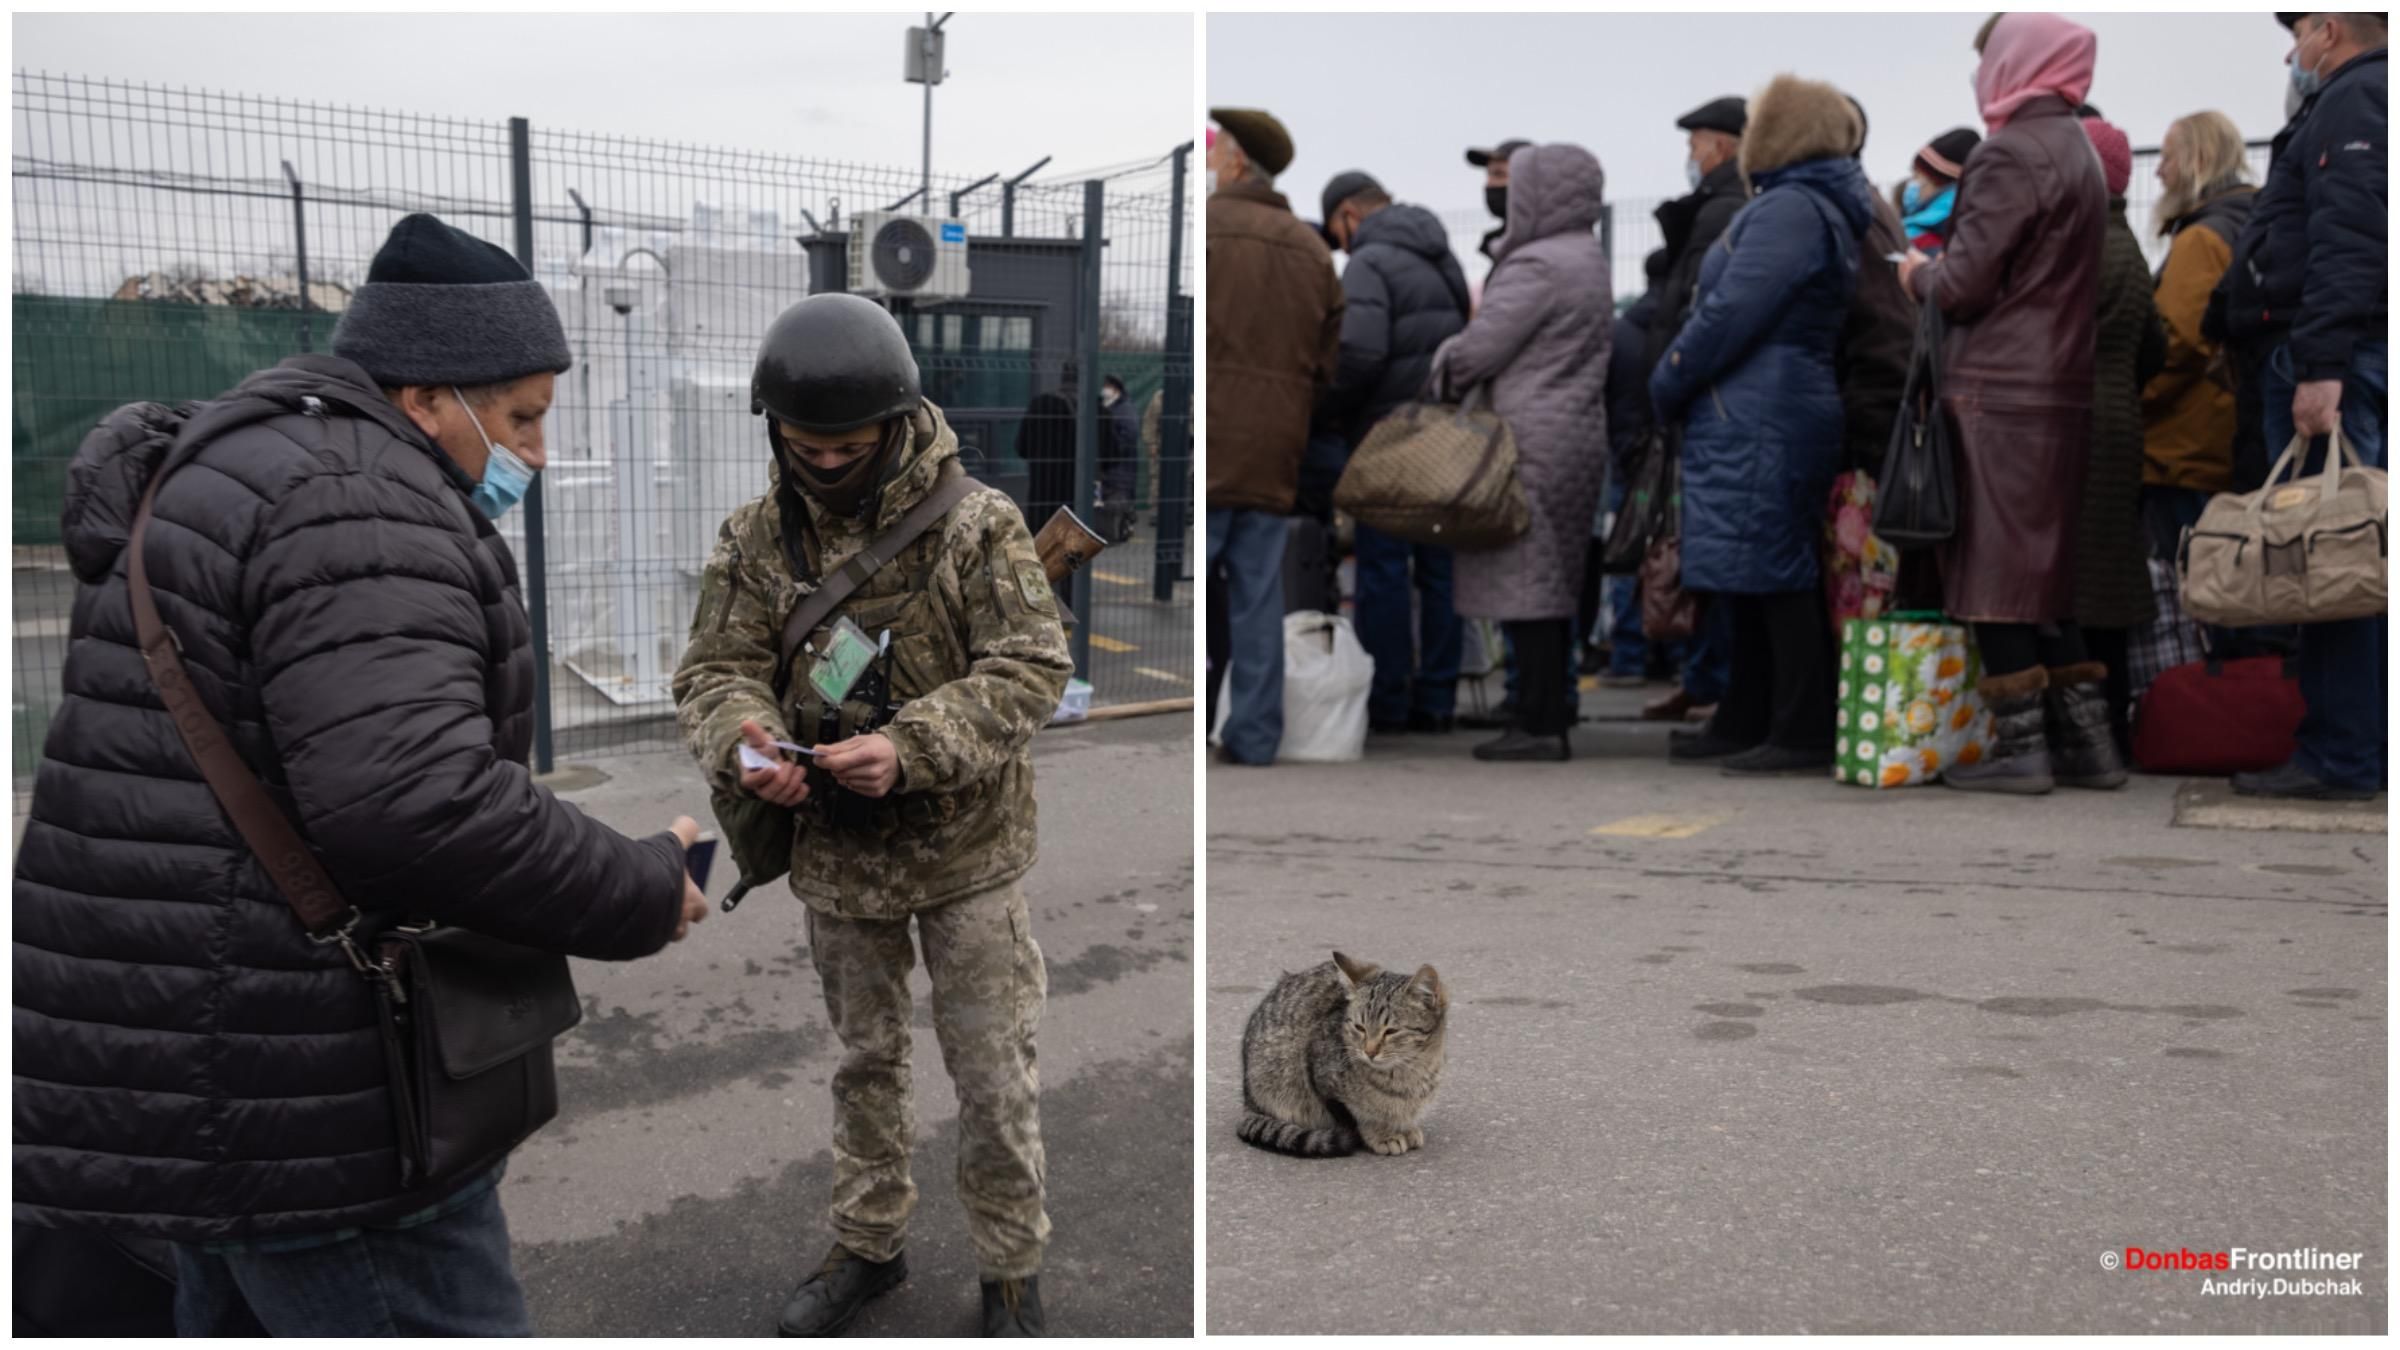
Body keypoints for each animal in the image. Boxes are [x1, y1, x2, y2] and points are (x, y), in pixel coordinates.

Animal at [1238, 946, 1440, 1157]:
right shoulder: (1321, 1077)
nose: (1369, 1051)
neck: (1408, 1071)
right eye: (1360, 1028)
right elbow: (1356, 1118)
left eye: (1391, 1031)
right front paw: (1381, 1134)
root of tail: (1248, 1100)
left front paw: (1403, 1127)